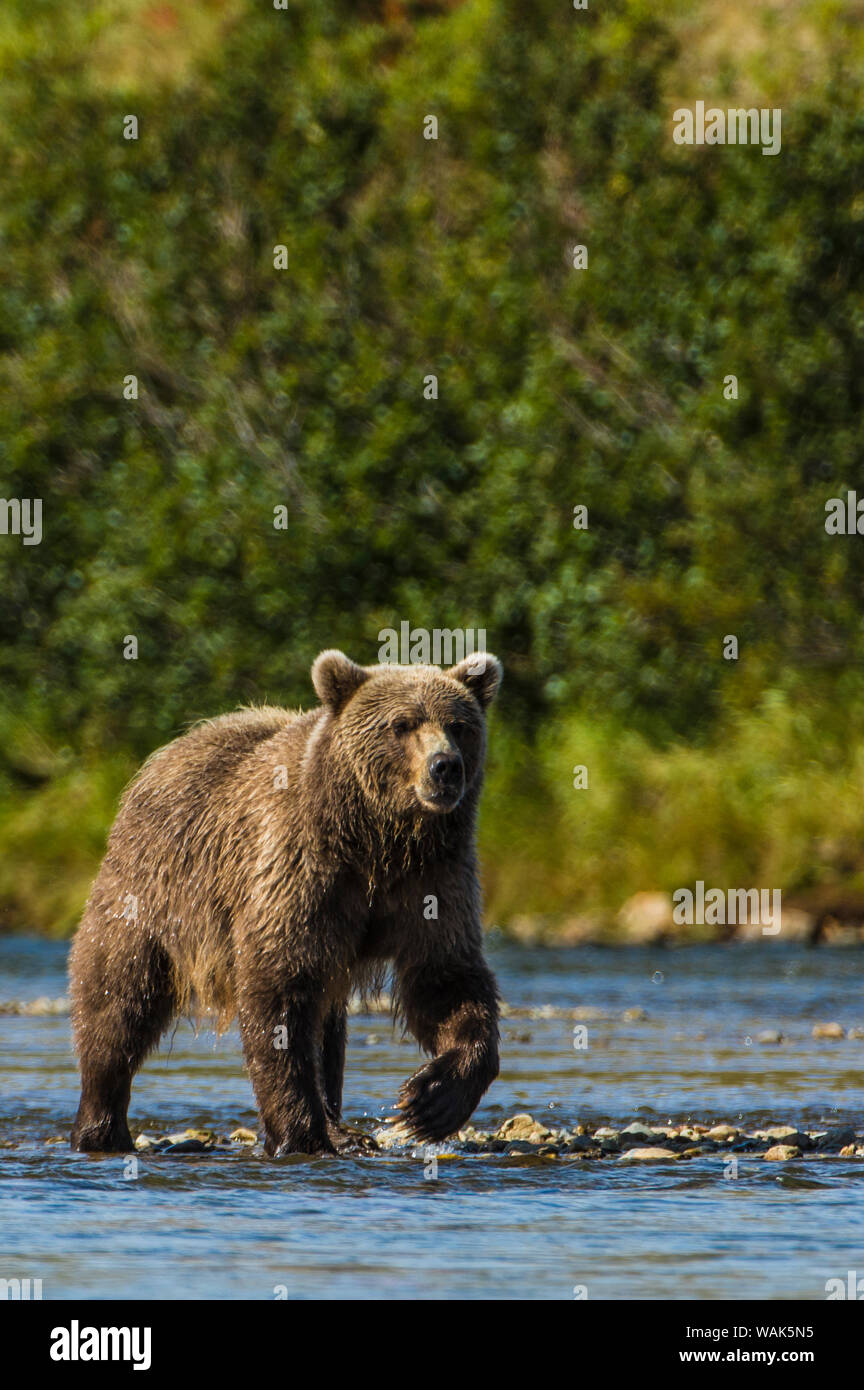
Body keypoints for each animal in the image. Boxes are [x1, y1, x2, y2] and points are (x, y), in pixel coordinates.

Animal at [71, 644, 505, 1156]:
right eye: (402, 724)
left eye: (459, 725)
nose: (446, 766)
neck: (377, 842)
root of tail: (168, 752)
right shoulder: (300, 868)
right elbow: (279, 989)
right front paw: (301, 1133)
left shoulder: (433, 878)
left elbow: (445, 978)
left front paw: (430, 1101)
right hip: (152, 888)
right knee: (118, 994)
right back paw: (101, 1126)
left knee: (328, 1028)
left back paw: (343, 1127)